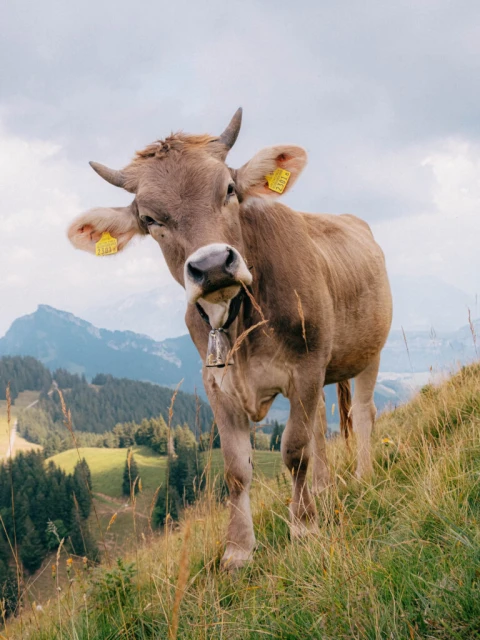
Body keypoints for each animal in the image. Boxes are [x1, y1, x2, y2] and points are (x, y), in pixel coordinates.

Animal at [67, 109, 392, 569]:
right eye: (150, 219)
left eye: (229, 189)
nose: (212, 265)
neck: (239, 321)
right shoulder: (218, 384)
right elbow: (237, 469)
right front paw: (238, 550)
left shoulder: (305, 366)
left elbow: (294, 449)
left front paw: (303, 527)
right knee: (320, 426)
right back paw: (323, 489)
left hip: (368, 352)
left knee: (362, 415)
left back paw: (362, 476)